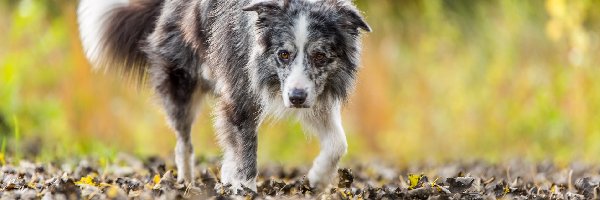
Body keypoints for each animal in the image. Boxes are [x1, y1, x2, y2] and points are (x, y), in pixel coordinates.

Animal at [77, 0, 368, 191]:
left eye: (319, 56)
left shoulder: (311, 93)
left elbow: (338, 143)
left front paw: (319, 178)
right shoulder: (241, 92)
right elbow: (246, 149)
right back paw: (187, 182)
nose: (296, 98)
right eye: (283, 54)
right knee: (184, 142)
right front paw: (247, 189)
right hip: (181, 86)